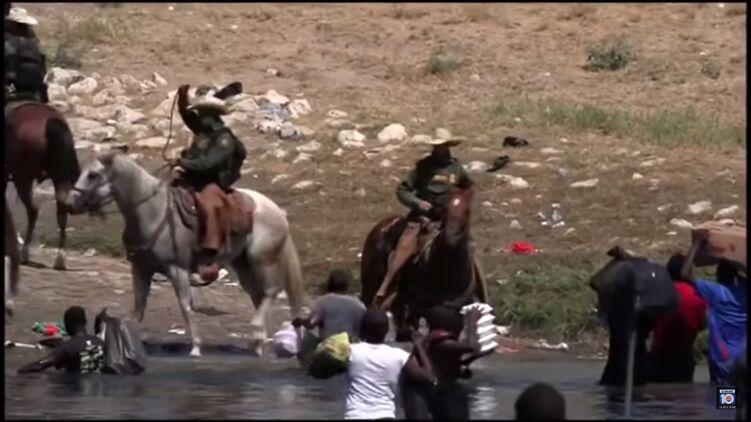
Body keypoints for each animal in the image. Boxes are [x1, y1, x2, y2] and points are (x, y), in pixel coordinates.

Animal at [5, 102, 81, 270]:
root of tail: (51, 122)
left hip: (23, 178)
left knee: (33, 211)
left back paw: (24, 254)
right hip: (59, 179)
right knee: (61, 214)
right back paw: (60, 259)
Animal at [67, 149, 307, 357]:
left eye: (93, 174)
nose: (70, 203)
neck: (152, 212)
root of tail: (277, 211)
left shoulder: (178, 270)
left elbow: (185, 307)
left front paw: (196, 348)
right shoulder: (140, 269)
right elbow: (138, 310)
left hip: (262, 260)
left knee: (272, 291)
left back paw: (257, 331)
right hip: (243, 265)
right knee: (259, 297)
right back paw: (258, 344)